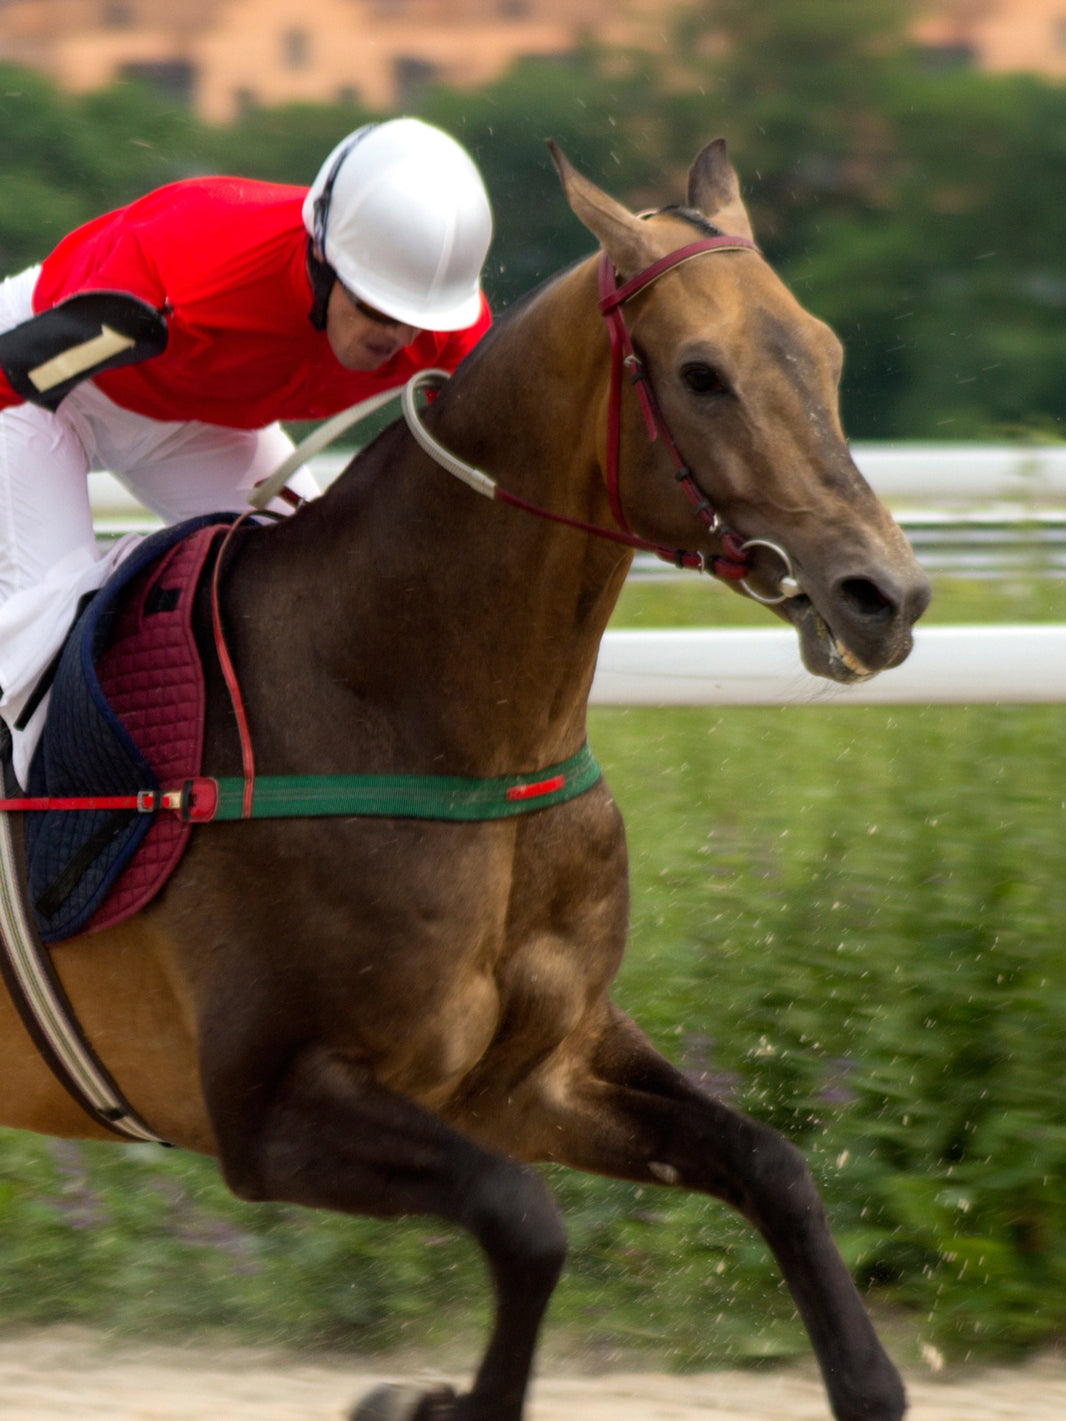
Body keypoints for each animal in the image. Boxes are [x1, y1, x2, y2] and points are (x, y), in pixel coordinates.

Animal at [0, 139, 931, 1421]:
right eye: (701, 374)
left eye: (826, 351)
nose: (884, 597)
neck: (409, 707)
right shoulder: (265, 1106)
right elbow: (524, 1219)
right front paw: (428, 1399)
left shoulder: (534, 1071)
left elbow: (772, 1163)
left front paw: (867, 1376)